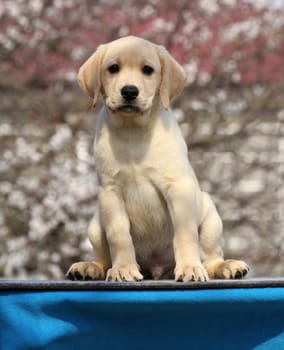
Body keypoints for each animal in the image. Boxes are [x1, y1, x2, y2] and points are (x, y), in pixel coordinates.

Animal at [66, 36, 248, 282]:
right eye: (113, 68)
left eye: (147, 70)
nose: (129, 91)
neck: (133, 130)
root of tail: (156, 269)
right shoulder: (110, 192)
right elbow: (118, 235)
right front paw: (124, 268)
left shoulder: (178, 188)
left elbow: (185, 234)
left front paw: (189, 267)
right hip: (96, 224)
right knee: (103, 258)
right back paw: (89, 267)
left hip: (210, 216)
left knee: (211, 257)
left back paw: (226, 266)